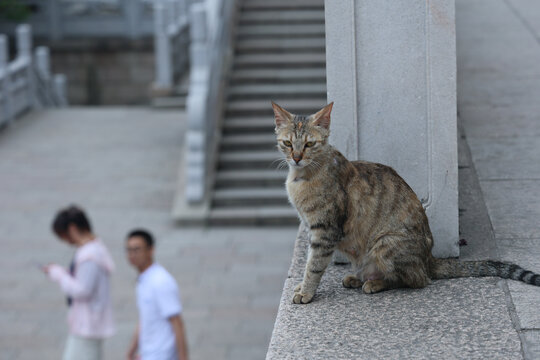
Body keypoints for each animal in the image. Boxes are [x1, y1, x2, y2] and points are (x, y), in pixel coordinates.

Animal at [272, 100, 540, 304]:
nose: (296, 157)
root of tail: (429, 259)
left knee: (416, 280)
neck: (301, 176)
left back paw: (374, 283)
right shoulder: (314, 228)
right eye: (288, 143)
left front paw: (306, 292)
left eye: (309, 144)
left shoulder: (325, 229)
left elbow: (314, 265)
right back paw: (357, 277)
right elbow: (309, 261)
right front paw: (303, 287)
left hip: (385, 244)